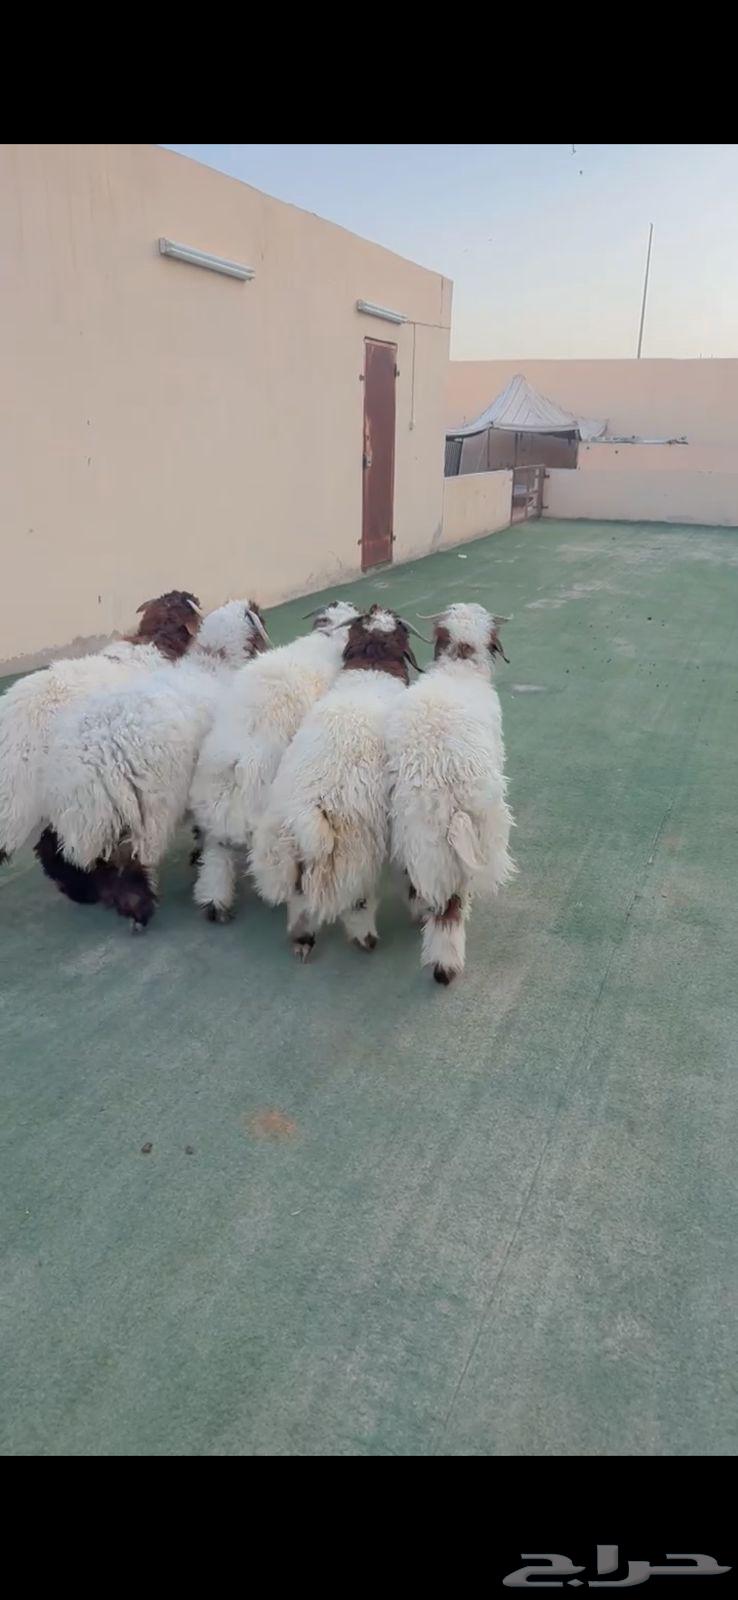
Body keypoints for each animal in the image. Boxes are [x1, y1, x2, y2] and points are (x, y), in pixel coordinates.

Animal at [43, 601, 270, 930]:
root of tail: (92, 757)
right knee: (132, 862)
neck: (215, 663)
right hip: (146, 807)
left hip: (94, 814)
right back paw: (139, 909)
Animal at [250, 606, 423, 959]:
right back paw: (366, 939)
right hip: (354, 858)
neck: (371, 668)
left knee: (299, 900)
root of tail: (309, 816)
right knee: (358, 903)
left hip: (287, 857)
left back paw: (302, 940)